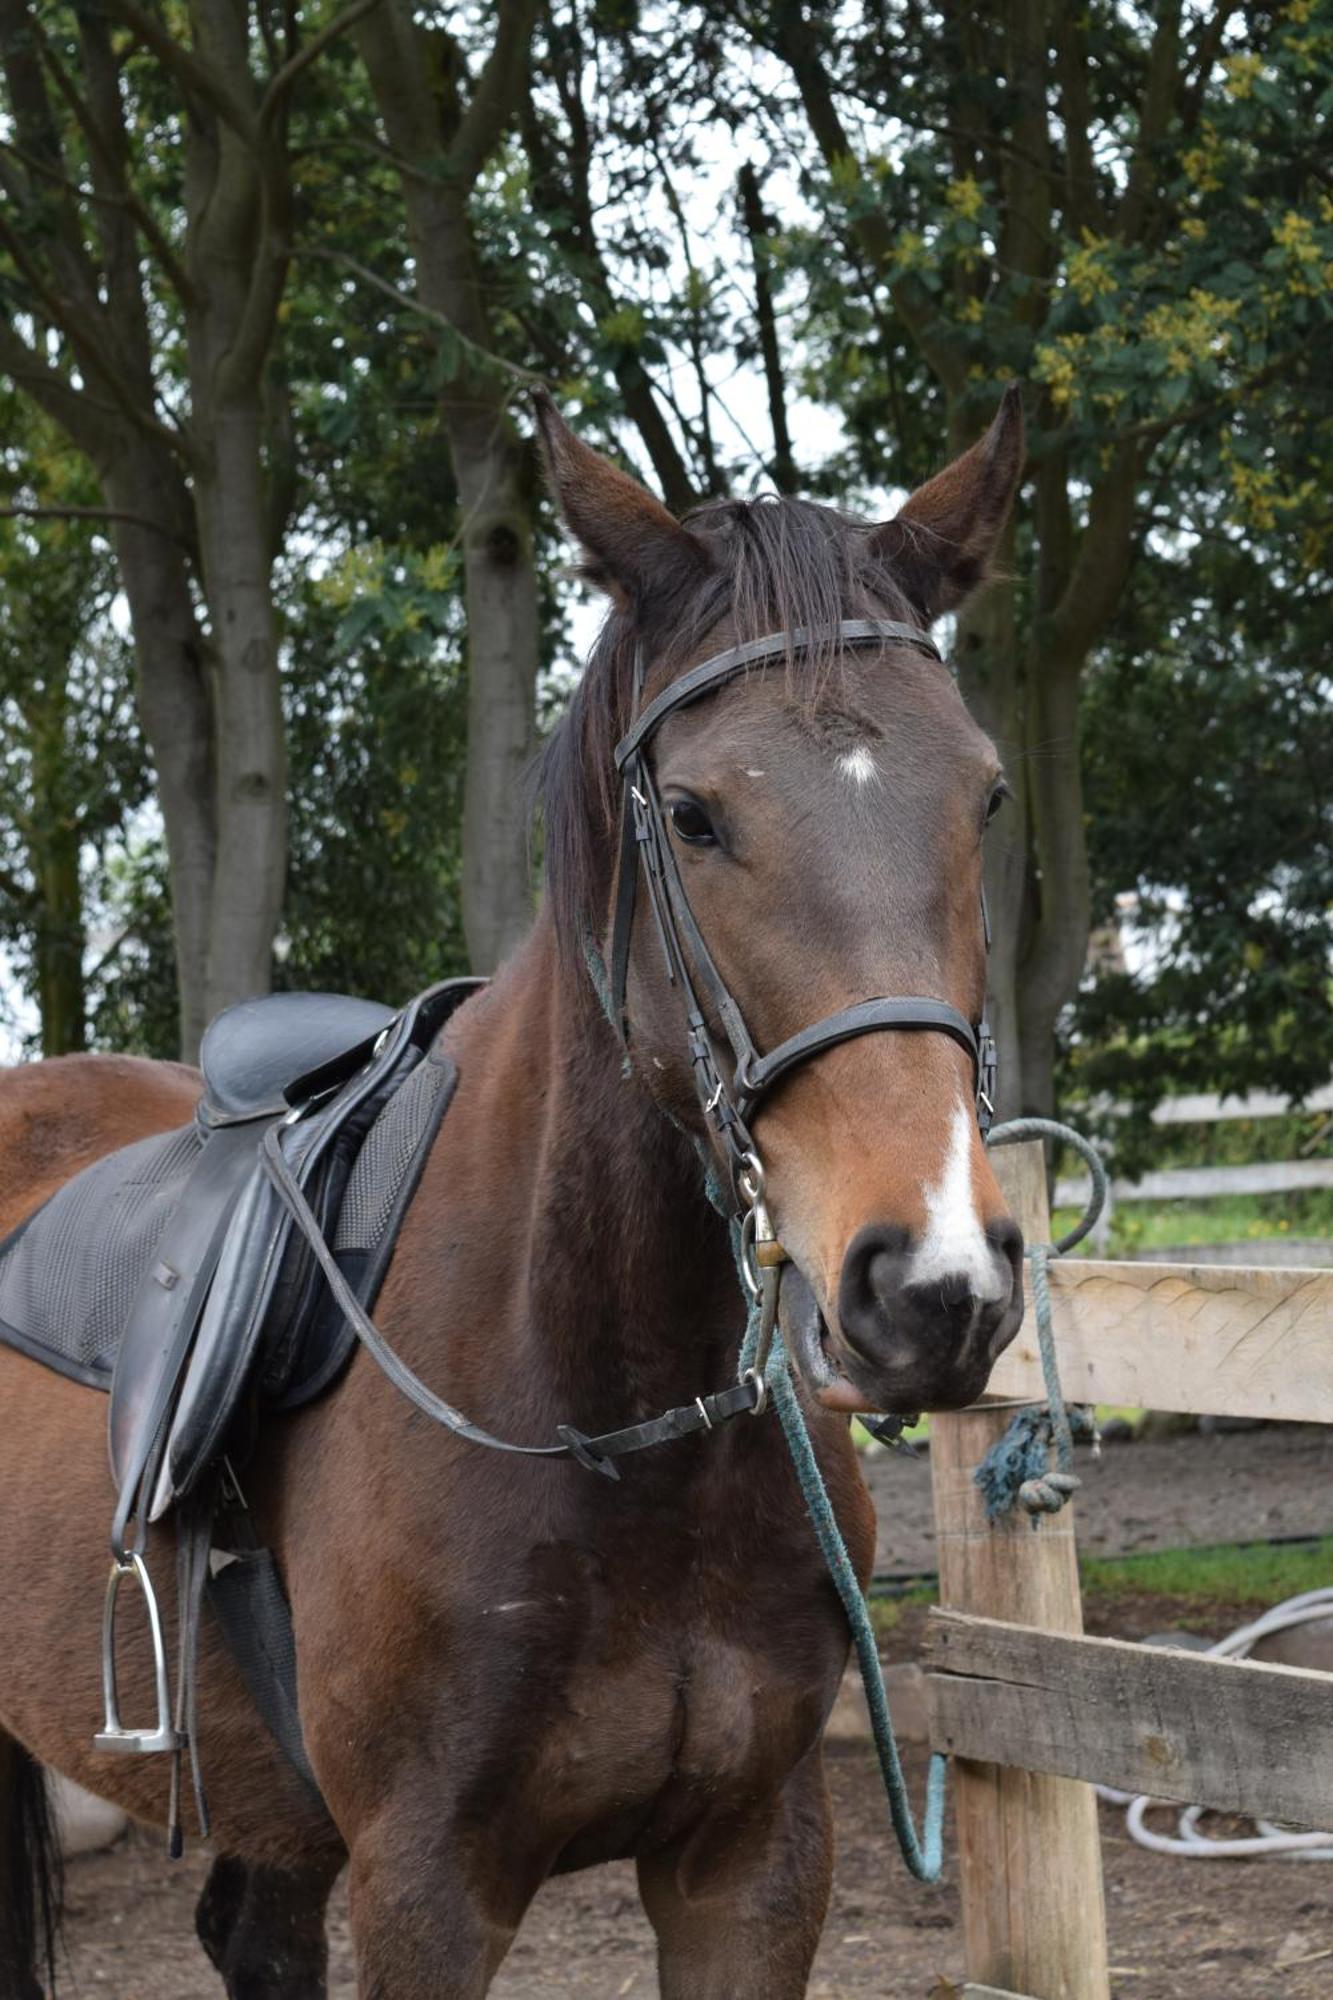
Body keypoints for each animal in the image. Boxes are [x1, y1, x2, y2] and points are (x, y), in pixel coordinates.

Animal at [0, 390, 1020, 2000]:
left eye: (982, 794)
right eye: (694, 814)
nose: (930, 1280)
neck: (613, 1421)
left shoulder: (754, 1861)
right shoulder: (429, 1887)